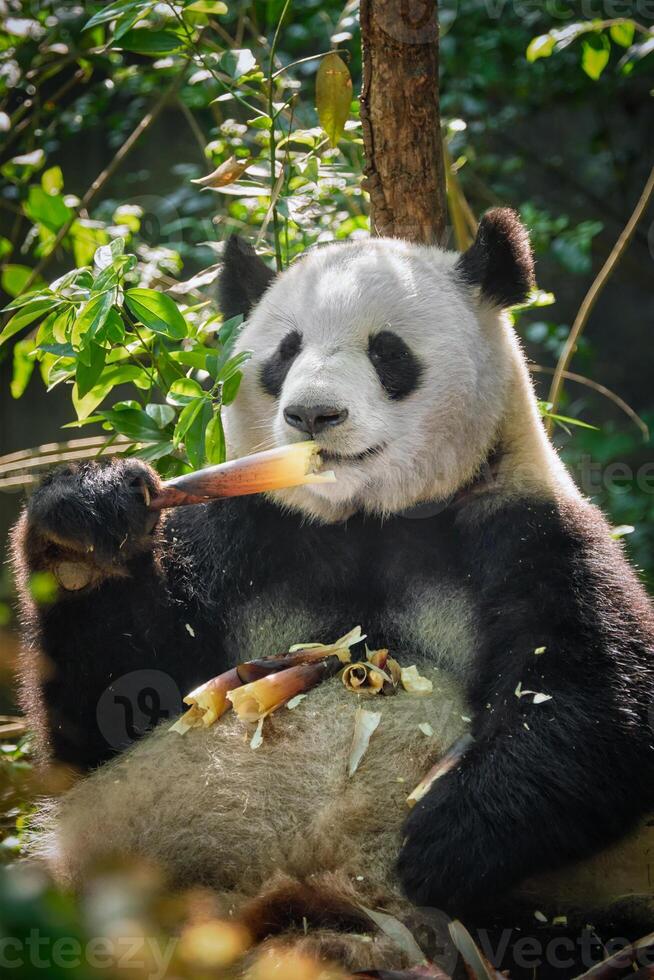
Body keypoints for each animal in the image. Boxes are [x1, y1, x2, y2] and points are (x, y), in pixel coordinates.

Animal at [9, 209, 654, 972]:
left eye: (387, 352)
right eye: (285, 352)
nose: (313, 416)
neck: (363, 517)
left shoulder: (523, 527)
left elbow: (597, 700)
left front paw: (441, 838)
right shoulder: (242, 536)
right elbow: (111, 711)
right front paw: (85, 526)